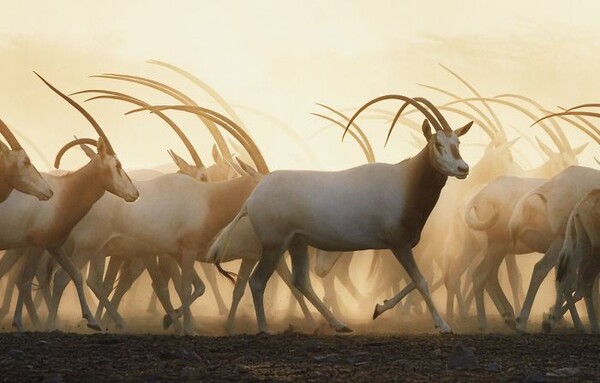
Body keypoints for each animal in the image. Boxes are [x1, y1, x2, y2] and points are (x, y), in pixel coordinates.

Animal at [212, 94, 474, 334]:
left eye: (458, 142)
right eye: (438, 144)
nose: (463, 168)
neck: (405, 181)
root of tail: (253, 196)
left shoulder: (401, 246)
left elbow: (415, 281)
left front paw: (378, 308)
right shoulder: (398, 245)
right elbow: (420, 281)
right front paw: (443, 326)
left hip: (297, 242)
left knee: (301, 281)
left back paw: (339, 324)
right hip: (274, 246)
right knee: (258, 282)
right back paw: (265, 329)